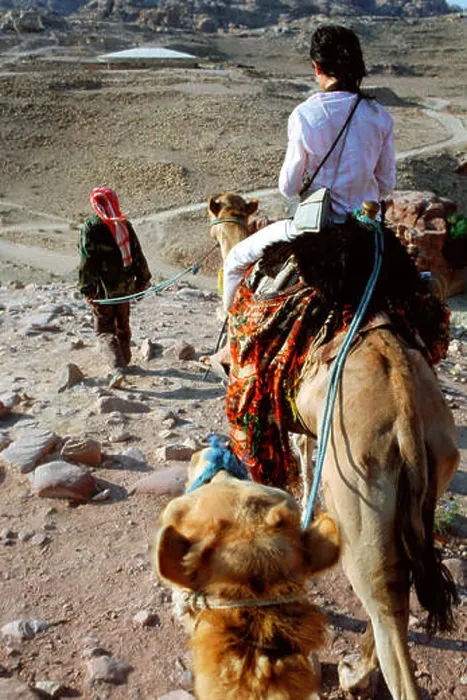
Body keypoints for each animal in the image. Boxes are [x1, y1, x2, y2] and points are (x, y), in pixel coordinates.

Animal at [207, 192, 460, 700]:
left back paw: (359, 675)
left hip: (359, 492)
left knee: (385, 603)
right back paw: (355, 670)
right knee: (398, 590)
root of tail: (406, 411)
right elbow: (305, 460)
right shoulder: (303, 420)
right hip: (432, 471)